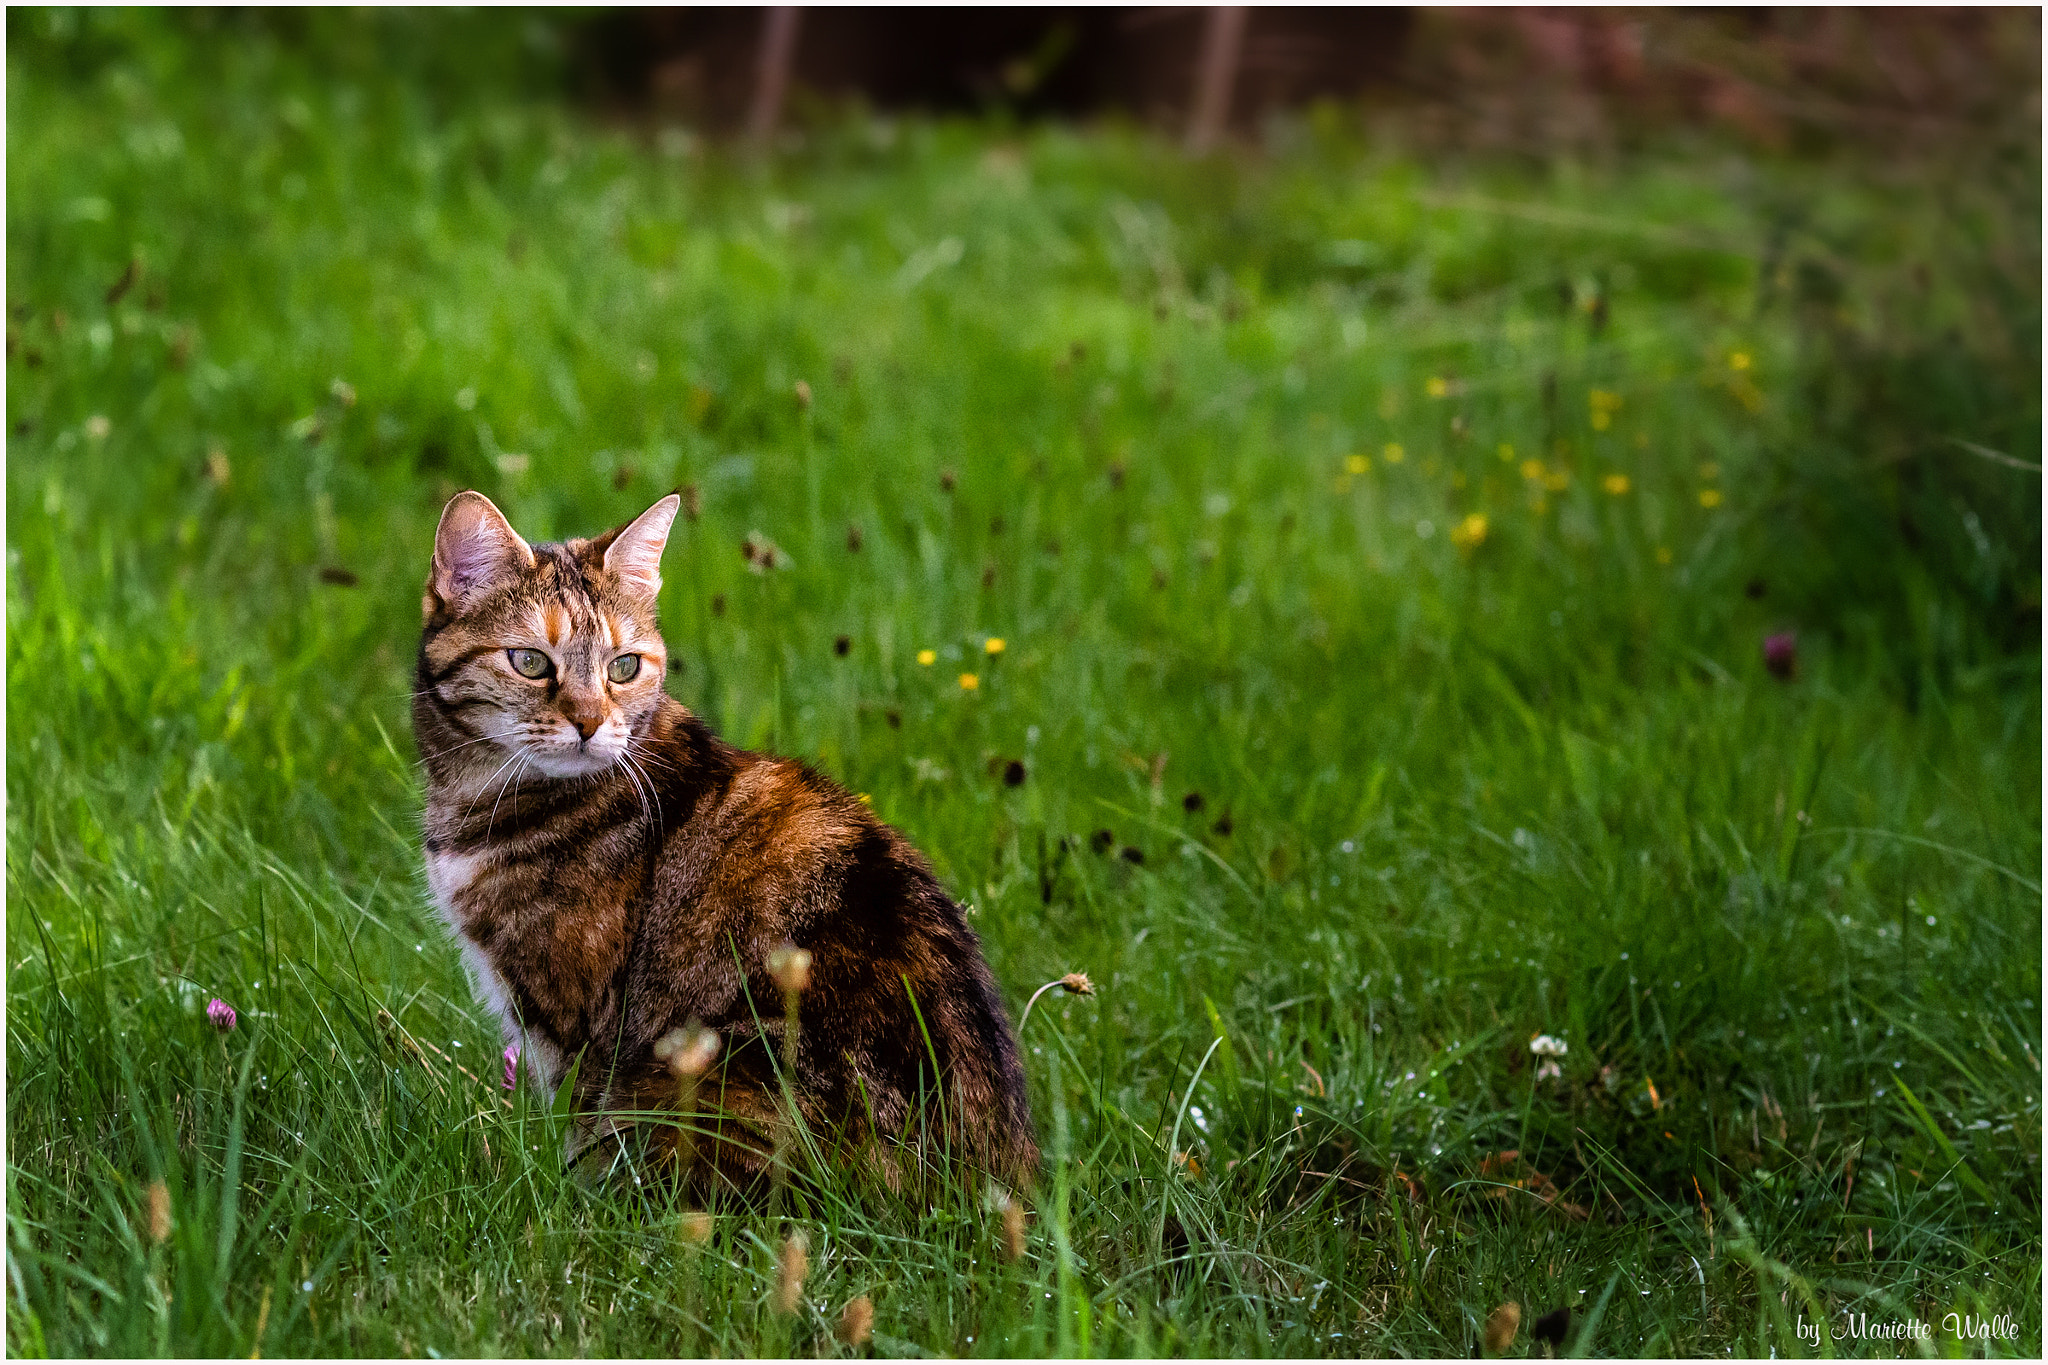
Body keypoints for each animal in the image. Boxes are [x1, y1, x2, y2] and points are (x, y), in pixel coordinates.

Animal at [411, 491, 1040, 1195]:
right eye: (529, 662)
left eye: (623, 667)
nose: (591, 723)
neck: (482, 792)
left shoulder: (576, 1023)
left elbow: (577, 1129)